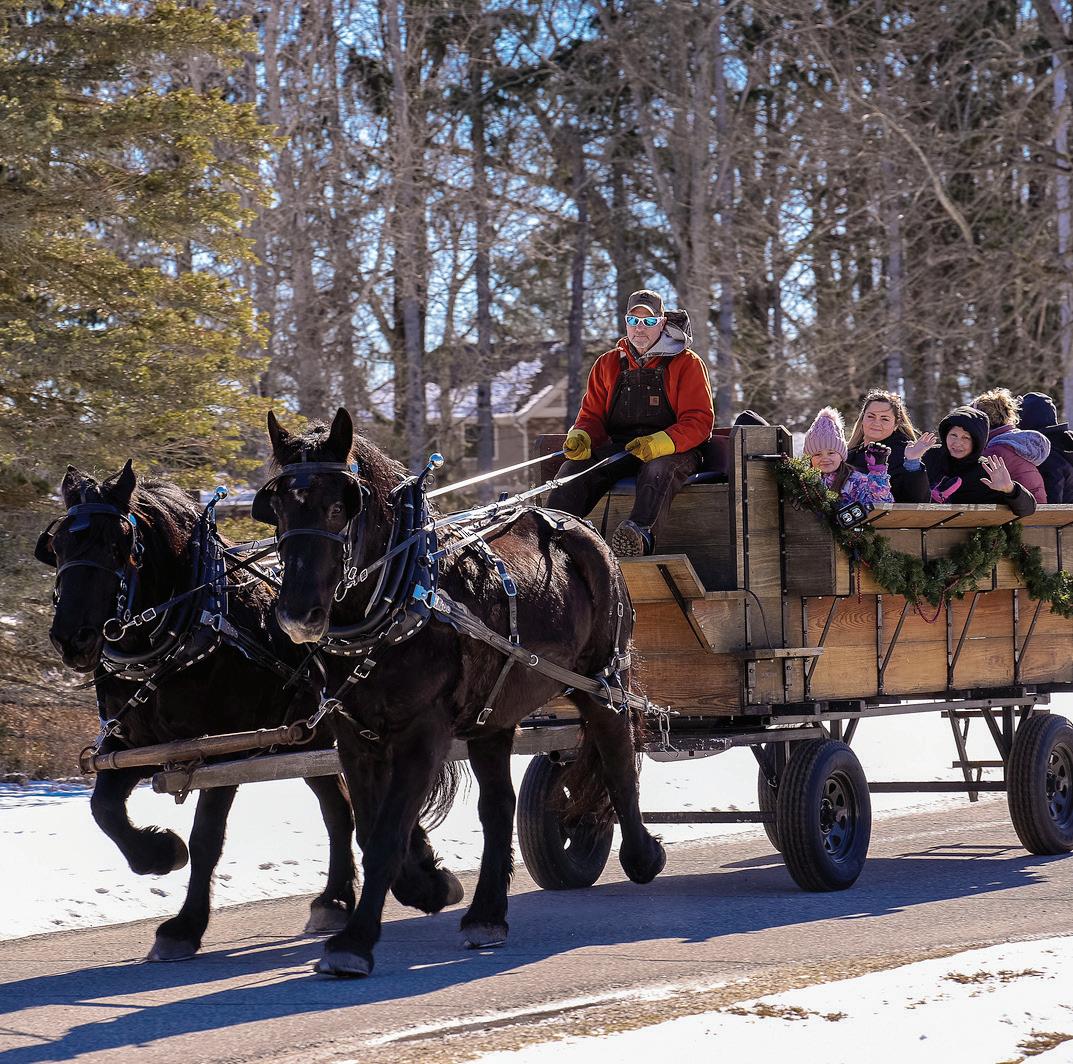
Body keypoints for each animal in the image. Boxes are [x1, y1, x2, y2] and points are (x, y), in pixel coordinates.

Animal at [36, 460, 458, 960]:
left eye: (118, 543)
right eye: (58, 545)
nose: (72, 638)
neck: (190, 629)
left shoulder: (223, 751)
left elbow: (205, 839)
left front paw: (184, 926)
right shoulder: (131, 746)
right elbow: (103, 809)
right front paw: (159, 854)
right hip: (309, 738)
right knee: (340, 811)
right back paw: (337, 899)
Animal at [257, 407, 666, 977]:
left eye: (339, 505)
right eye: (276, 507)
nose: (298, 615)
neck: (401, 601)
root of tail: (582, 528)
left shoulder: (422, 734)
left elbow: (386, 834)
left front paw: (354, 942)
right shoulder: (353, 735)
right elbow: (370, 828)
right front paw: (428, 885)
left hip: (601, 680)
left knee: (617, 759)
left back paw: (642, 855)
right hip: (494, 714)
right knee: (498, 806)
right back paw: (487, 914)